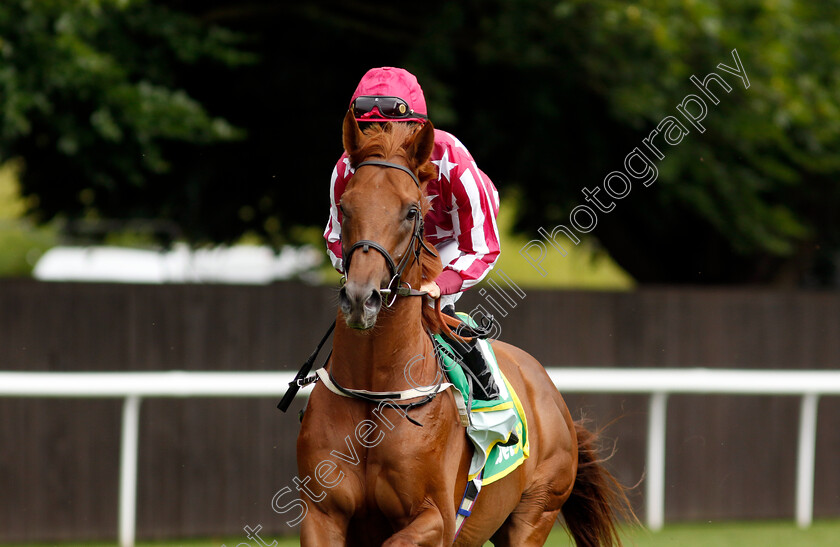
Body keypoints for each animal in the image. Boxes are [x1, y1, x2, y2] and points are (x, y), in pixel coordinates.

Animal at [296, 112, 632, 547]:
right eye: (344, 205)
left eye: (411, 211)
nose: (360, 298)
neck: (376, 394)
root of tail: (551, 394)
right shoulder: (321, 515)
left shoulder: (436, 518)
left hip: (535, 512)